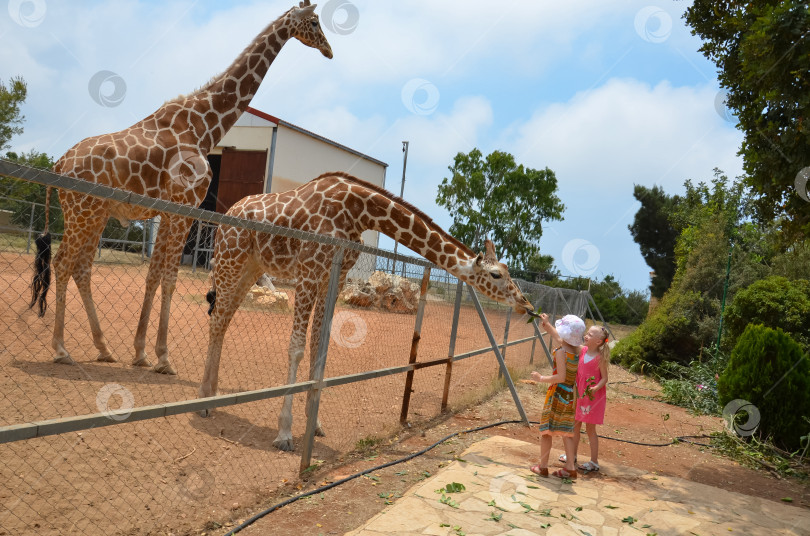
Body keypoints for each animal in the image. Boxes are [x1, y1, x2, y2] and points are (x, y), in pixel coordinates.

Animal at [28, 2, 332, 374]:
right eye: (315, 22)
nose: (329, 51)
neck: (205, 126)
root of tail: (59, 163)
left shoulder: (169, 209)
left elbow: (154, 274)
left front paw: (141, 353)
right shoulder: (185, 205)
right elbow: (169, 278)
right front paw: (163, 357)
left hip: (94, 214)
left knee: (81, 267)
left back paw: (104, 348)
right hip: (81, 211)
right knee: (62, 263)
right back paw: (61, 349)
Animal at [198, 171, 532, 448]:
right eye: (496, 274)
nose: (526, 304)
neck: (357, 212)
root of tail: (226, 217)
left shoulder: (333, 277)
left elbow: (320, 346)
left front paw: (314, 424)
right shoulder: (308, 272)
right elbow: (297, 347)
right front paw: (284, 433)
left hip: (252, 267)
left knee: (223, 319)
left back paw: (211, 397)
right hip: (231, 259)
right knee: (217, 319)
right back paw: (202, 402)